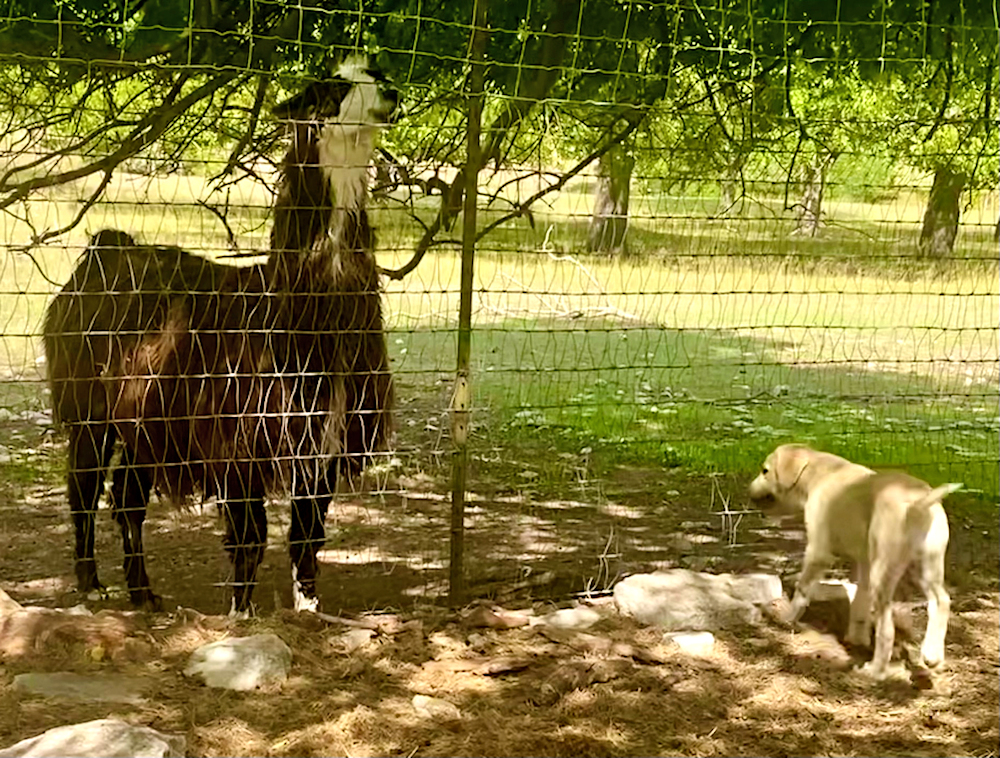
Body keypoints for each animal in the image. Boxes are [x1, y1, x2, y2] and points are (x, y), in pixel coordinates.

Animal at [752, 442, 960, 680]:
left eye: (765, 470)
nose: (749, 492)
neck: (820, 472)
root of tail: (918, 502)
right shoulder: (864, 562)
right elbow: (860, 601)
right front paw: (857, 638)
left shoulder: (818, 551)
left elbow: (803, 589)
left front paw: (787, 618)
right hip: (927, 566)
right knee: (941, 601)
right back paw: (932, 656)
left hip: (885, 571)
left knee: (887, 629)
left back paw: (875, 670)